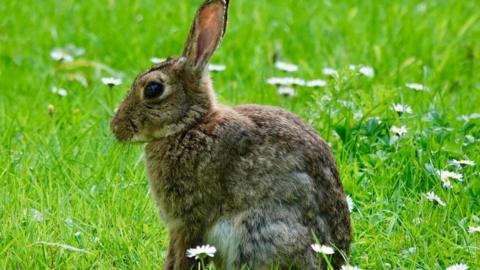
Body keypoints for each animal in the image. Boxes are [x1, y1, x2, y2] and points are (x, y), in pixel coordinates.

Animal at [111, 0, 352, 268]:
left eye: (153, 89)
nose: (116, 128)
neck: (189, 126)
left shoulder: (189, 220)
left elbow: (182, 255)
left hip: (258, 233)